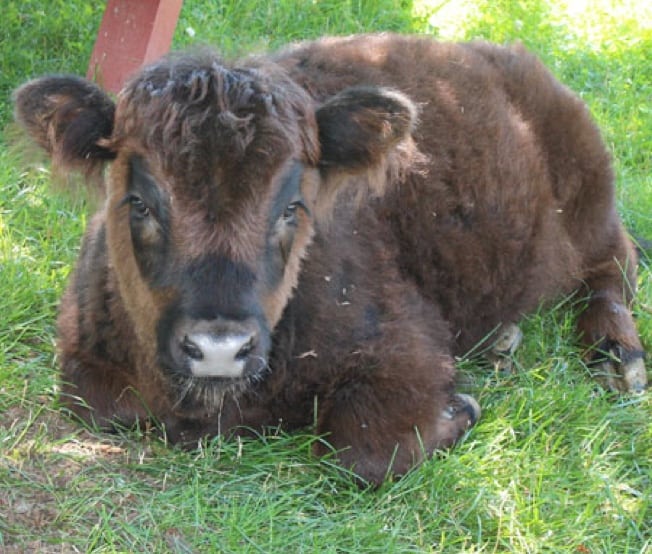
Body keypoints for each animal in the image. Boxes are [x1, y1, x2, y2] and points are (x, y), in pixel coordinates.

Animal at [14, 34, 648, 484]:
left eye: (294, 207)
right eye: (139, 202)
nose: (219, 348)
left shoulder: (405, 351)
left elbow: (365, 455)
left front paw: (461, 408)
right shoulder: (82, 353)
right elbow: (101, 405)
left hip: (590, 203)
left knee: (614, 267)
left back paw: (619, 358)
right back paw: (504, 340)